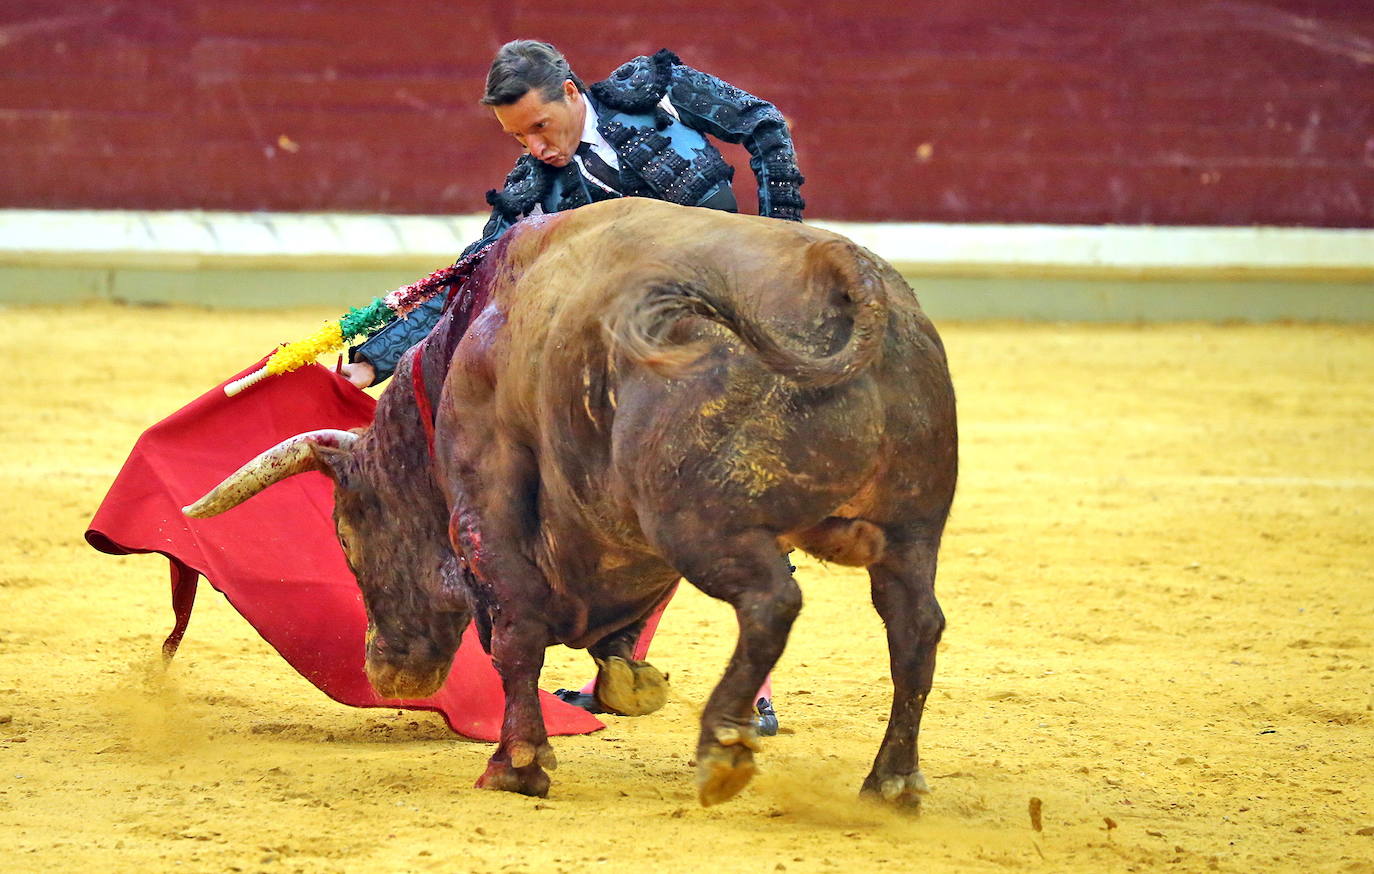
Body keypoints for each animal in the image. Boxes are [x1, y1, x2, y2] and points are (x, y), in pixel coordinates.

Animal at [182, 197, 956, 808]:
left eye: (346, 533)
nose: (386, 671)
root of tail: (846, 275)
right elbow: (616, 638)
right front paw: (627, 684)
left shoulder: (486, 508)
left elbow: (515, 636)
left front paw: (516, 765)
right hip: (912, 530)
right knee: (915, 628)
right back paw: (891, 783)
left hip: (699, 526)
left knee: (772, 602)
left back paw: (723, 750)